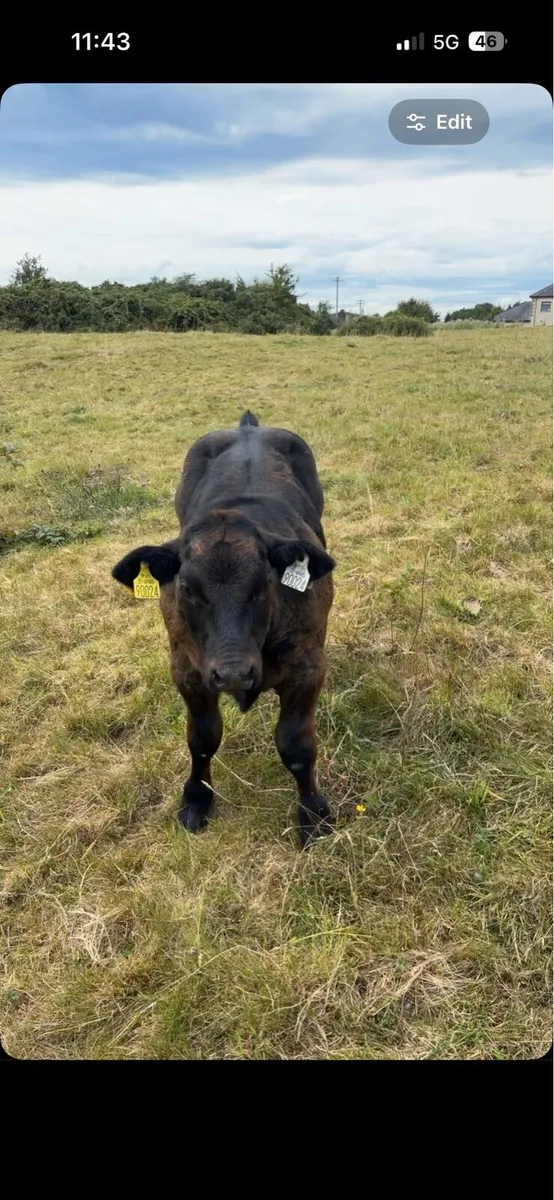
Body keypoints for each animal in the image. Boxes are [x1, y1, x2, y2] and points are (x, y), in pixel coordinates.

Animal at [111, 411, 336, 847]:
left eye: (264, 584)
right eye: (185, 587)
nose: (232, 672)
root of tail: (247, 426)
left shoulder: (308, 668)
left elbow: (297, 745)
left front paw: (313, 813)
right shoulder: (186, 669)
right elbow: (201, 738)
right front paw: (196, 799)